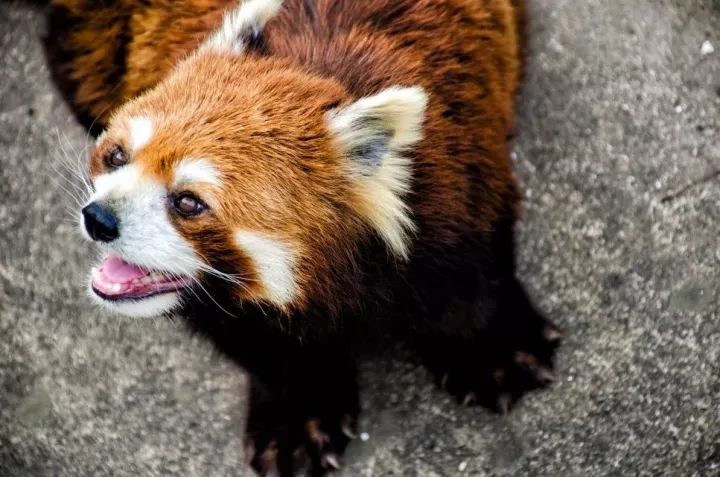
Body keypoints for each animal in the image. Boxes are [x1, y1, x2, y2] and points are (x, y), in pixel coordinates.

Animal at [46, 0, 564, 476]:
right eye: (117, 156)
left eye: (188, 202)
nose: (99, 218)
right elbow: (272, 353)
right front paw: (297, 420)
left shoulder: (458, 176)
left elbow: (470, 281)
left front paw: (495, 352)